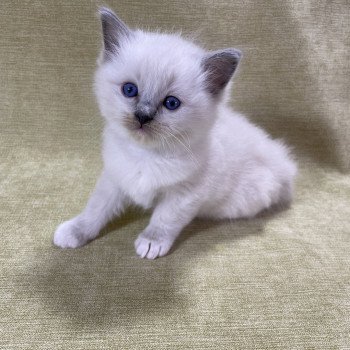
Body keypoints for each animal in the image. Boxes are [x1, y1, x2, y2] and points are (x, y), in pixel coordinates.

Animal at [53, 6, 296, 260]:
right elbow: (96, 209)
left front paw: (151, 242)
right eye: (129, 90)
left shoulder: (186, 193)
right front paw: (75, 231)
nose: (143, 116)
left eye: (171, 103)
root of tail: (285, 163)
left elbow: (164, 219)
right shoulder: (115, 177)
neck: (146, 155)